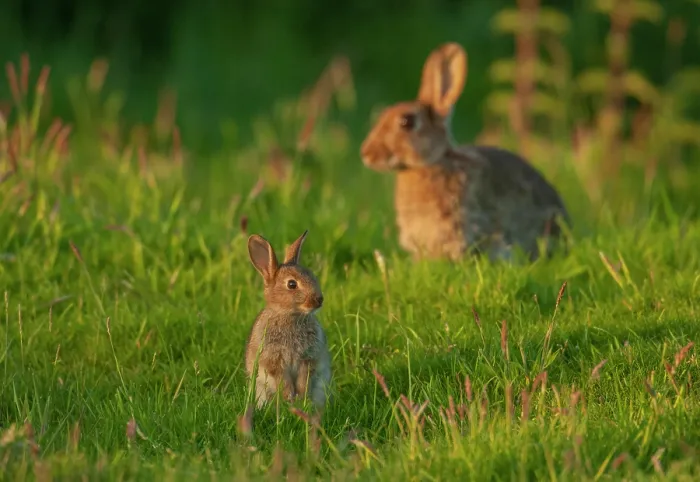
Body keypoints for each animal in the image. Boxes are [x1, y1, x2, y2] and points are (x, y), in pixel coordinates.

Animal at [245, 230, 331, 412]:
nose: (319, 300)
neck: (290, 316)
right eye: (292, 284)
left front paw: (301, 400)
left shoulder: (307, 359)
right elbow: (282, 382)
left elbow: (303, 380)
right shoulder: (274, 362)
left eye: (313, 277)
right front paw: (290, 399)